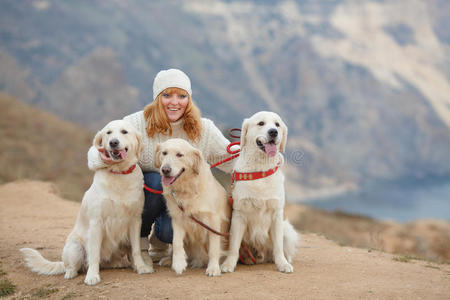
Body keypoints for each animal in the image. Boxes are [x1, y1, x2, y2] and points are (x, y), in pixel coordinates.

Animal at [20, 118, 155, 284]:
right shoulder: (96, 222)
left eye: (124, 132)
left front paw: (141, 267)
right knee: (73, 265)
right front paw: (92, 276)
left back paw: (121, 264)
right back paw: (72, 273)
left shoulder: (135, 221)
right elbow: (94, 254)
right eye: (108, 133)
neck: (118, 173)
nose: (113, 142)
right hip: (75, 246)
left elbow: (136, 249)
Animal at [155, 138, 232, 276]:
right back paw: (168, 259)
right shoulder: (178, 218)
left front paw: (213, 268)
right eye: (164, 153)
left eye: (179, 155)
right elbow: (176, 242)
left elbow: (214, 248)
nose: (165, 170)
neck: (187, 188)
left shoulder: (213, 221)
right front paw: (178, 263)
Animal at [221, 111, 298, 274]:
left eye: (277, 124)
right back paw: (248, 259)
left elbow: (278, 247)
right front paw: (228, 264)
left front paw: (282, 264)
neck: (260, 168)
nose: (273, 132)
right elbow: (233, 247)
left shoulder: (277, 215)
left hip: (287, 230)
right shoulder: (239, 215)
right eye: (261, 123)